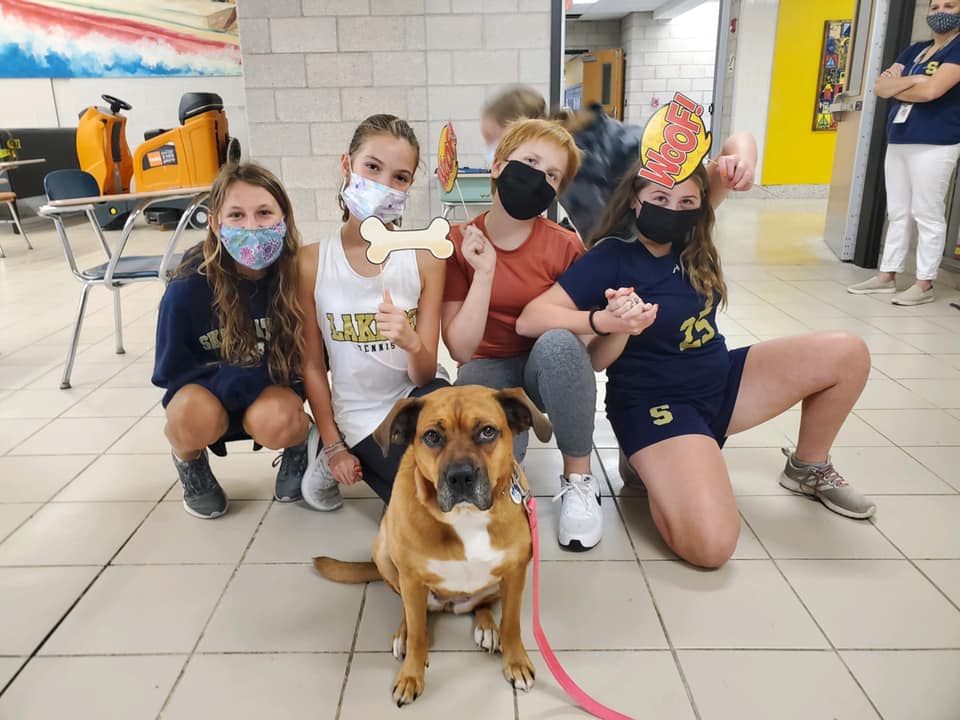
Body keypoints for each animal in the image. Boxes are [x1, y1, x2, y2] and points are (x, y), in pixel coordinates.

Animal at [314, 386, 552, 704]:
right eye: (432, 436)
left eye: (488, 431)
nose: (460, 476)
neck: (466, 516)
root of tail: (452, 605)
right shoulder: (412, 578)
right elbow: (418, 633)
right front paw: (410, 675)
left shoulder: (515, 572)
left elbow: (512, 624)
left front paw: (516, 662)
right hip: (385, 553)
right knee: (410, 611)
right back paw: (404, 632)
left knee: (483, 603)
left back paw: (487, 626)